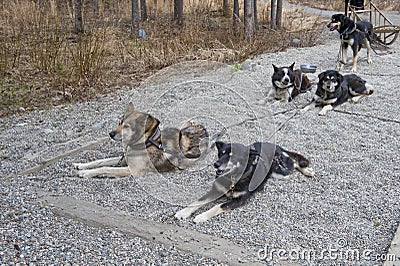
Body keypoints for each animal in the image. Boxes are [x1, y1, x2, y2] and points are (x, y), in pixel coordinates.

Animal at [173, 141, 314, 222]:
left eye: (231, 156)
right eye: (221, 153)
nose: (215, 164)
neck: (234, 178)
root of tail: (278, 147)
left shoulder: (239, 200)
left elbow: (218, 206)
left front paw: (201, 216)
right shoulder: (216, 190)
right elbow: (198, 201)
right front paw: (183, 212)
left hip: (282, 171)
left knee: (294, 161)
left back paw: (308, 171)